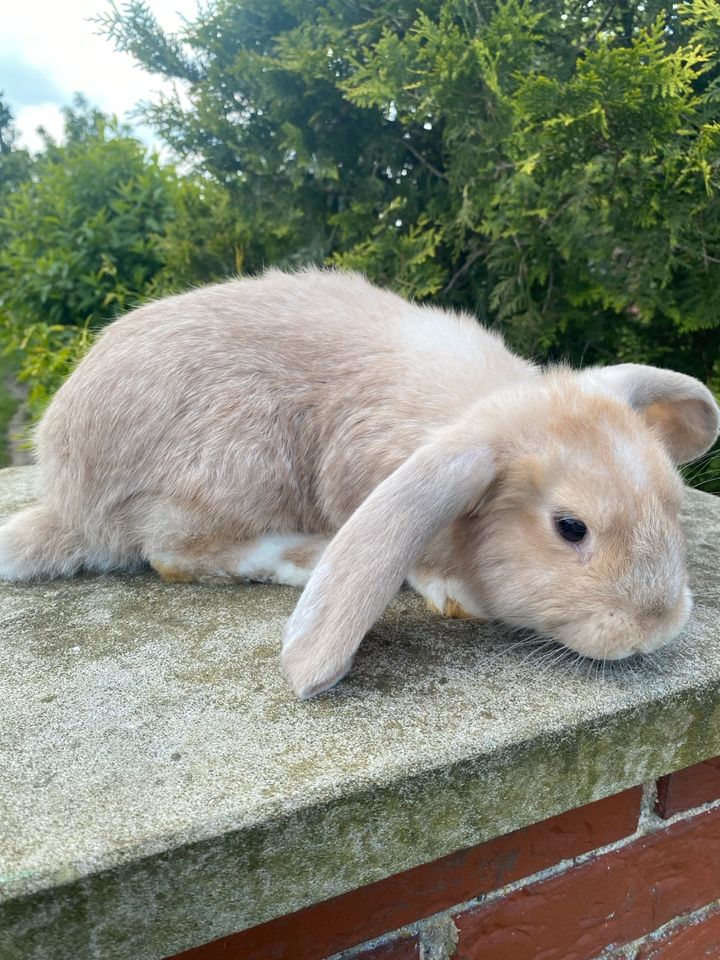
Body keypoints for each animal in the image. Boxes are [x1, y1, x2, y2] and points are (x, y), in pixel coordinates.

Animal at [0, 266, 716, 692]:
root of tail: (70, 500)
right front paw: (457, 593)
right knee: (174, 555)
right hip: (235, 468)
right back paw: (305, 556)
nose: (656, 626)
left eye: (672, 504)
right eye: (570, 528)